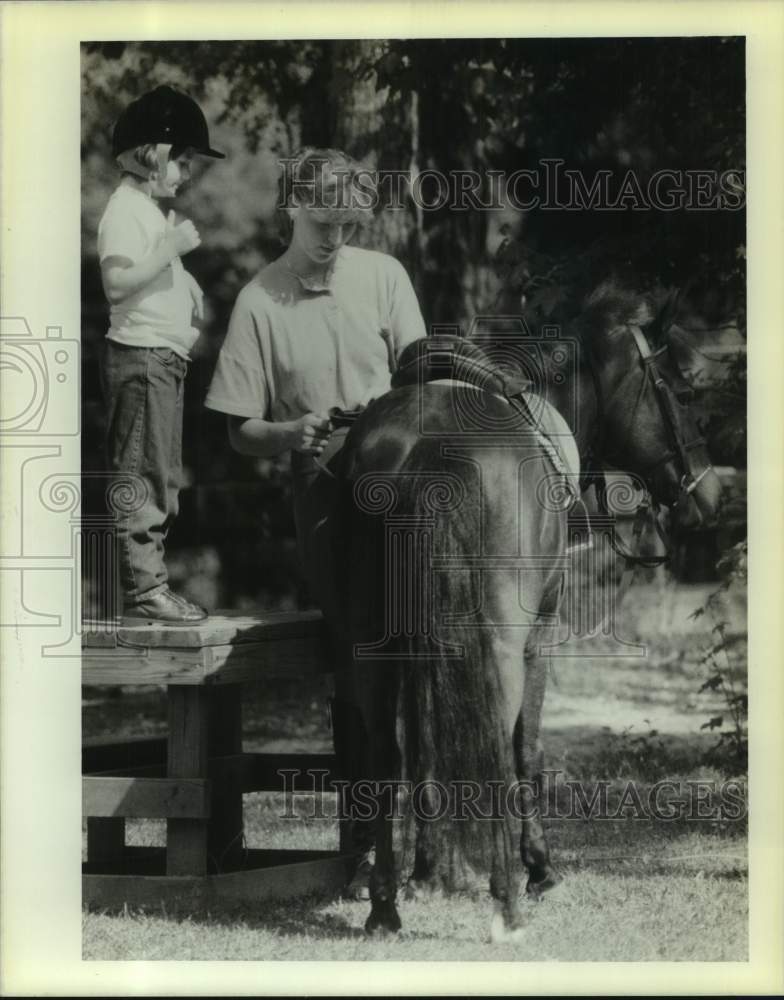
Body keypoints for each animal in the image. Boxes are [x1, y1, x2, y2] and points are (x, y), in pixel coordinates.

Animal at [302, 286, 724, 940]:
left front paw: (429, 872)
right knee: (497, 743)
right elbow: (526, 745)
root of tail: (426, 446)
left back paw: (384, 905)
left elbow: (425, 751)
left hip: (366, 648)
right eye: (677, 391)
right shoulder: (538, 637)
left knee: (384, 755)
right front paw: (538, 868)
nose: (708, 492)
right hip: (496, 643)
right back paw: (506, 900)